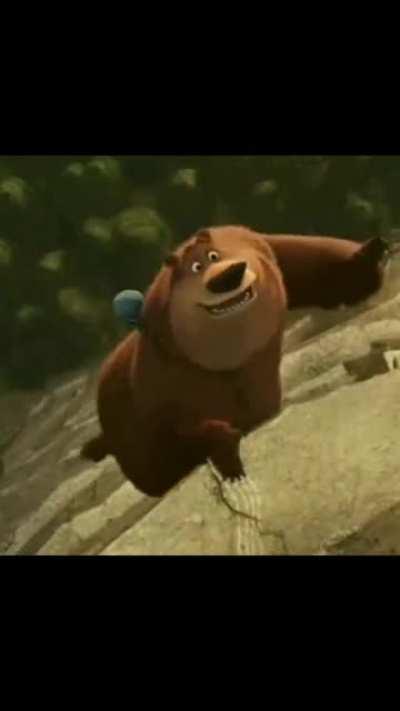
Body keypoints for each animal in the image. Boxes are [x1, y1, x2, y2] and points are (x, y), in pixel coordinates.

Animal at [81, 226, 387, 498]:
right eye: (196, 267)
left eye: (214, 256)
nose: (229, 276)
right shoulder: (159, 372)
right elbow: (175, 428)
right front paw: (227, 451)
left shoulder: (260, 245)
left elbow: (313, 266)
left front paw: (373, 252)